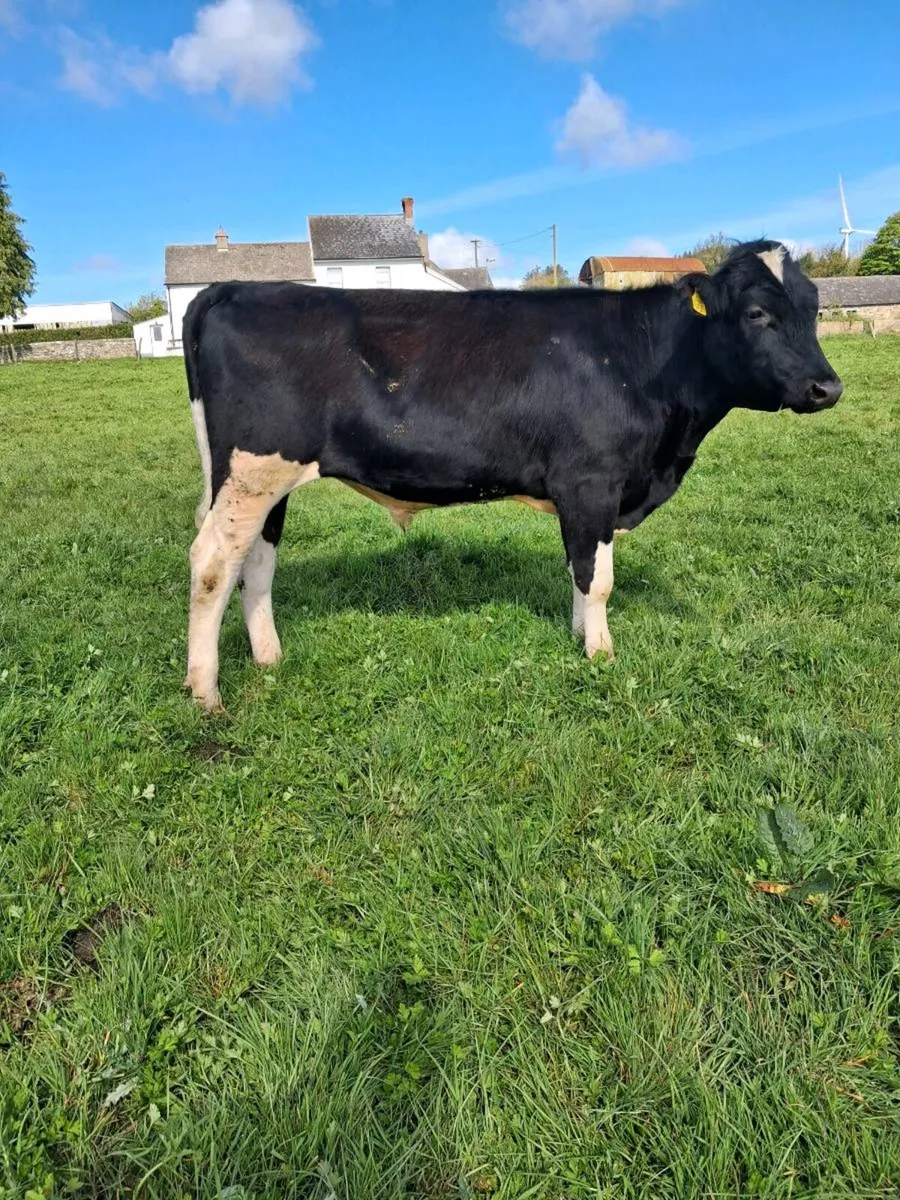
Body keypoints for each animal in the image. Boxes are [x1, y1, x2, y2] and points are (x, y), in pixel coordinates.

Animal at [182, 240, 842, 711]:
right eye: (757, 313)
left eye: (814, 311)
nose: (827, 388)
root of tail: (231, 289)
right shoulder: (592, 481)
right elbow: (598, 579)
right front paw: (601, 655)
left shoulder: (583, 496)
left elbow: (578, 569)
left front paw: (579, 637)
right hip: (252, 470)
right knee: (213, 562)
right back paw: (205, 692)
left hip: (261, 481)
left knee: (256, 560)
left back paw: (269, 658)